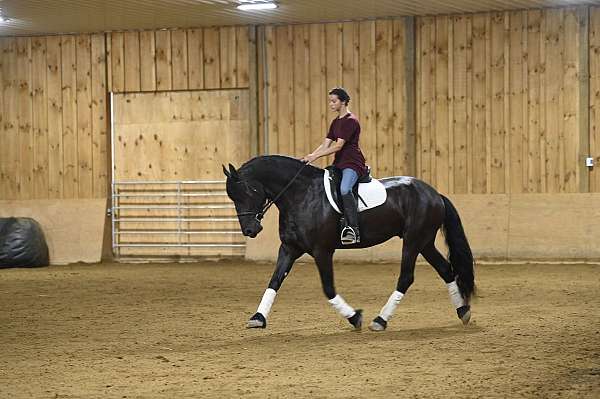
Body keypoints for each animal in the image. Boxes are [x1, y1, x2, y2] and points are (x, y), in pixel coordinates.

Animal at [223, 155, 476, 332]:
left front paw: (355, 317)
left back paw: (380, 320)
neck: (301, 194)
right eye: (232, 197)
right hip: (424, 242)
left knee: (406, 277)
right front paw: (258, 318)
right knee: (445, 270)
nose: (250, 230)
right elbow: (274, 281)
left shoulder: (322, 251)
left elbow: (328, 288)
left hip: (413, 241)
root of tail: (435, 193)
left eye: (246, 191)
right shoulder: (289, 248)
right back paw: (463, 311)